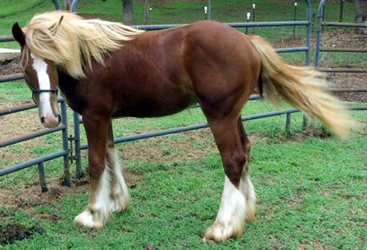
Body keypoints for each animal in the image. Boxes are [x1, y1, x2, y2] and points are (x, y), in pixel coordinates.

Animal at [12, 10, 354, 241]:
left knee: (233, 159)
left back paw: (222, 227)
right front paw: (117, 202)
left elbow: (96, 162)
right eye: (27, 67)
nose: (50, 118)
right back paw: (244, 214)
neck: (91, 56)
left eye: (51, 62)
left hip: (219, 115)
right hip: (233, 114)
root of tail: (247, 40)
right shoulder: (105, 117)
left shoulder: (94, 115)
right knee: (245, 151)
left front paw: (93, 215)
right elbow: (111, 156)